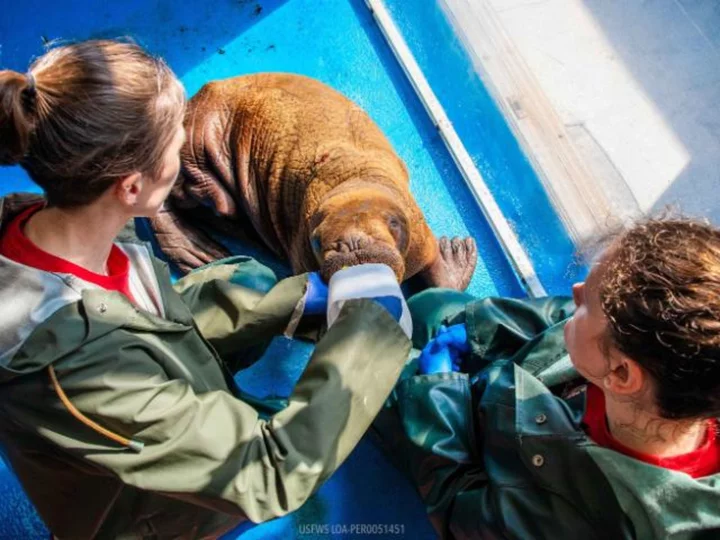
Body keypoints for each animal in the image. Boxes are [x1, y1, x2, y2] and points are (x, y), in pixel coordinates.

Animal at [150, 74, 478, 288]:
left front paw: (455, 257)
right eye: (317, 239)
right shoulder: (302, 255)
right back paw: (199, 248)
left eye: (393, 224)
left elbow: (438, 275)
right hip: (195, 141)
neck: (351, 176)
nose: (353, 243)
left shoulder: (419, 235)